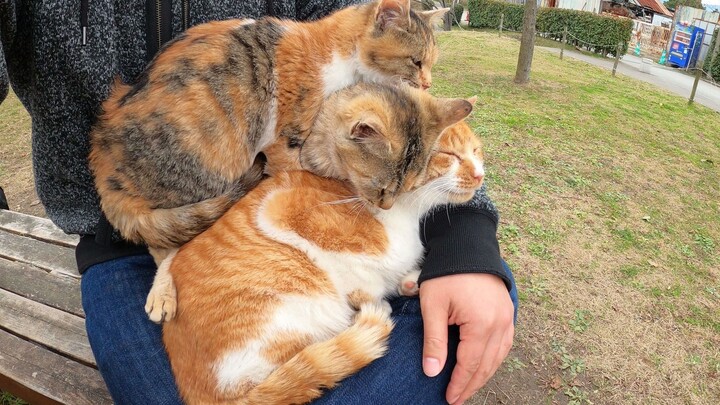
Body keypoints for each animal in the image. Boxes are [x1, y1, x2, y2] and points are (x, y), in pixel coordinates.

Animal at [88, 0, 450, 256]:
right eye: (415, 61)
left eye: (433, 63)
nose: (428, 83)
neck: (336, 55)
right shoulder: (286, 138)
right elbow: (296, 169)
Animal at [159, 118, 484, 402]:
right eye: (449, 155)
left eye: (476, 151)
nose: (480, 174)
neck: (407, 213)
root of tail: (200, 395)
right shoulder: (280, 209)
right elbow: (355, 273)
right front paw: (376, 295)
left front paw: (409, 281)